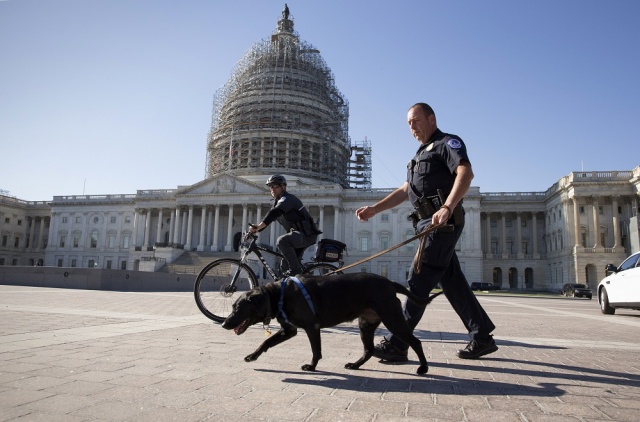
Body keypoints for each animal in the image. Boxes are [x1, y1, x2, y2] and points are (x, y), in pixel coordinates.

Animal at [220, 272, 440, 374]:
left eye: (237, 308)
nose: (224, 324)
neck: (279, 294)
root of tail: (390, 283)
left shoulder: (311, 327)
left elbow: (316, 350)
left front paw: (311, 366)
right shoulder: (289, 330)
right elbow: (266, 342)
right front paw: (252, 356)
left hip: (392, 319)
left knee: (416, 341)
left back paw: (423, 368)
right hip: (366, 324)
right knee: (368, 350)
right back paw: (355, 365)